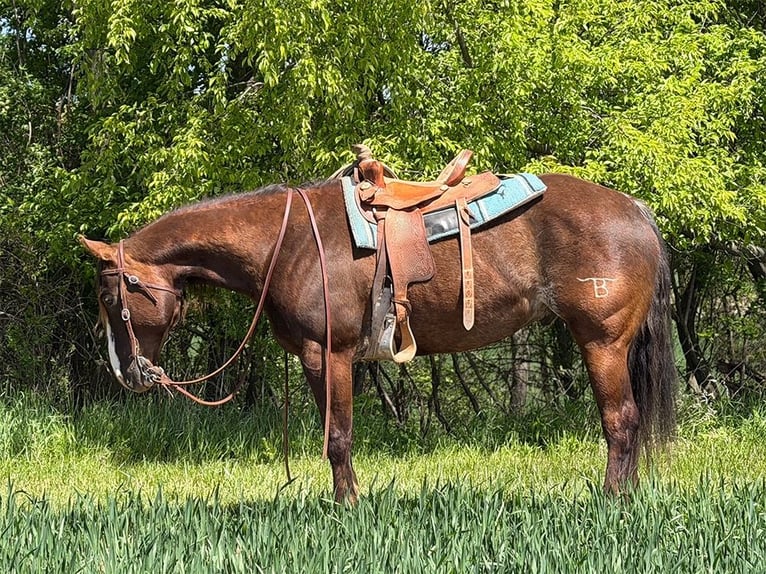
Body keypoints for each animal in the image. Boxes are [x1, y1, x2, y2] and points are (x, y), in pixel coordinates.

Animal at [79, 168, 676, 503]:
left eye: (111, 299)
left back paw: (610, 502)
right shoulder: (316, 358)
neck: (286, 243)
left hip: (602, 343)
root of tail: (636, 211)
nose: (127, 373)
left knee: (621, 422)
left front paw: (348, 508)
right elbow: (334, 437)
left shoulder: (330, 355)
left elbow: (338, 437)